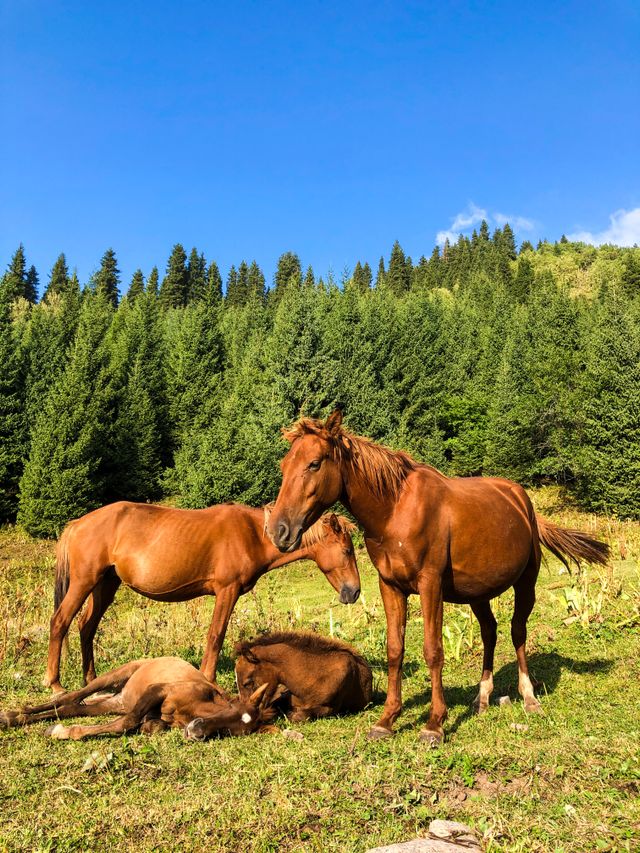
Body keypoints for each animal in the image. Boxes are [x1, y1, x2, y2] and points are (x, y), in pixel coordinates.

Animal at [1, 657, 270, 740]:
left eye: (231, 730)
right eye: (230, 707)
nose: (197, 731)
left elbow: (150, 725)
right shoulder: (158, 689)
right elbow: (127, 723)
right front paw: (65, 733)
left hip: (111, 704)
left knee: (72, 708)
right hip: (112, 677)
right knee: (70, 697)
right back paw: (13, 715)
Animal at [45, 500, 360, 692]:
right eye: (347, 550)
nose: (354, 591)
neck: (252, 534)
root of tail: (77, 523)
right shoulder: (227, 591)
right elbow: (215, 635)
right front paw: (208, 679)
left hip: (105, 584)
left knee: (86, 627)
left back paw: (91, 680)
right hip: (84, 582)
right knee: (60, 622)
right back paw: (55, 684)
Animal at [266, 409, 610, 745]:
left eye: (314, 463)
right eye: (284, 465)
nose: (278, 531)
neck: (395, 510)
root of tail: (523, 502)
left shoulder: (430, 585)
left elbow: (433, 651)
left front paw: (434, 724)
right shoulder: (390, 586)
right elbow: (395, 650)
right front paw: (386, 720)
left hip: (526, 583)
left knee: (517, 632)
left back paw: (529, 697)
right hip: (479, 594)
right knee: (490, 632)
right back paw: (482, 698)